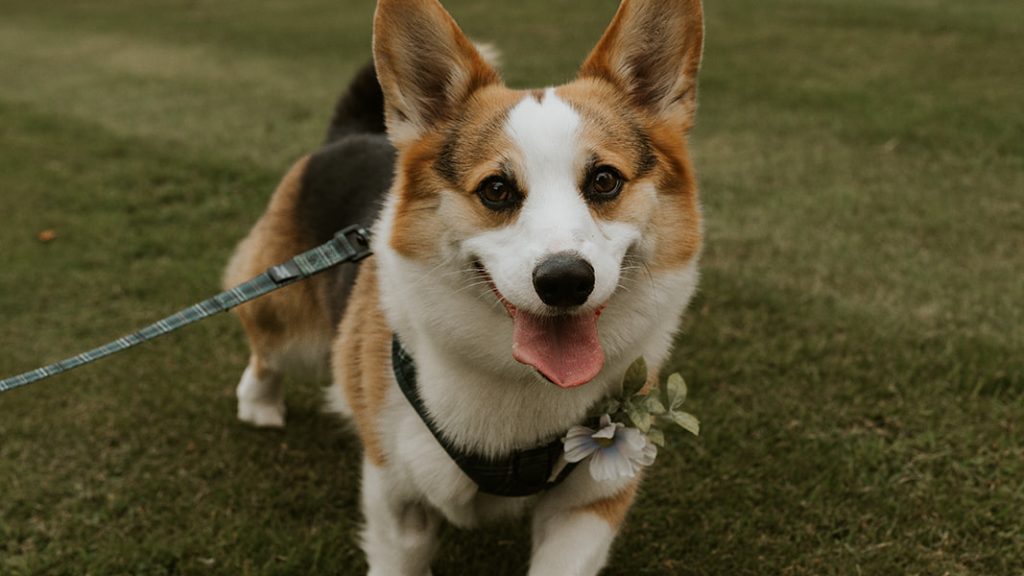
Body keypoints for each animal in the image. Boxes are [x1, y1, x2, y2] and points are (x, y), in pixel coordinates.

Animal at [224, 0, 704, 569]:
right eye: (496, 189)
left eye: (605, 180)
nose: (565, 280)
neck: (517, 383)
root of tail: (347, 135)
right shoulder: (398, 500)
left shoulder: (591, 500)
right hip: (289, 324)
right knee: (266, 348)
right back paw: (259, 404)